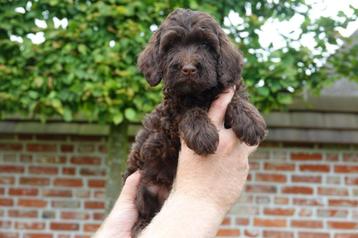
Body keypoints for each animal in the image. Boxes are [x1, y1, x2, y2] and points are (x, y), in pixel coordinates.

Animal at [124, 7, 268, 236]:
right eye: (171, 46)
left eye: (205, 45)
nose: (188, 69)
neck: (199, 95)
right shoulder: (169, 119)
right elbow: (188, 111)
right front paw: (203, 134)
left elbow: (235, 96)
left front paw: (251, 120)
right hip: (145, 186)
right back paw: (141, 226)